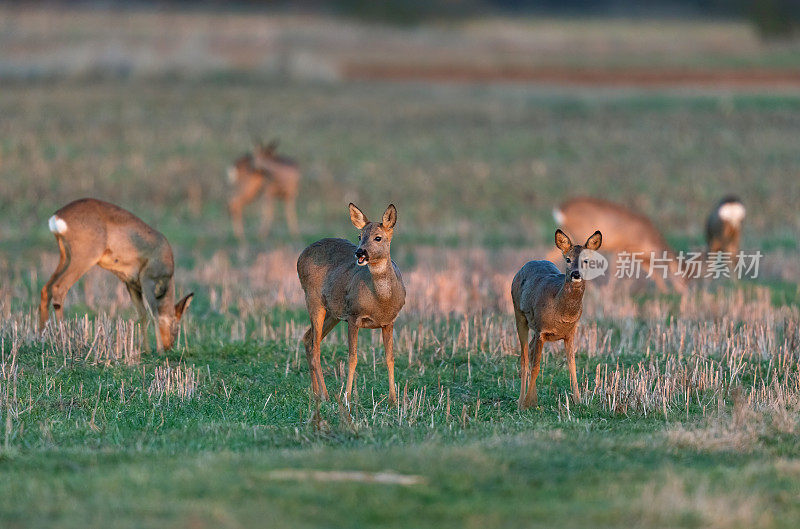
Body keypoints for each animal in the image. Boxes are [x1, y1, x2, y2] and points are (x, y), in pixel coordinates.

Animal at [40, 198, 195, 350]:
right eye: (176, 327)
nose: (170, 346)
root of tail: (57, 216)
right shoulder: (148, 280)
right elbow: (155, 314)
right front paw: (159, 351)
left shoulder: (131, 283)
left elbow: (142, 314)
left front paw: (146, 350)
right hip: (84, 256)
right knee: (58, 288)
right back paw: (62, 340)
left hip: (65, 256)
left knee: (46, 289)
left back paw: (41, 338)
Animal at [296, 204, 406, 402]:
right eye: (359, 236)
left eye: (378, 237)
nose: (359, 252)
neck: (381, 301)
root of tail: (301, 255)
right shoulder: (354, 316)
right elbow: (352, 358)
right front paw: (347, 396)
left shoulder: (389, 321)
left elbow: (390, 358)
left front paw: (394, 400)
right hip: (313, 299)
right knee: (316, 348)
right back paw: (325, 395)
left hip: (333, 312)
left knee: (308, 339)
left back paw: (315, 393)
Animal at [512, 228, 600, 408]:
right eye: (568, 259)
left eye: (586, 260)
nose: (575, 274)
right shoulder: (541, 331)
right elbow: (536, 367)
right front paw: (528, 403)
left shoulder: (570, 333)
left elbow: (572, 366)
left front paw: (578, 401)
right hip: (519, 314)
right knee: (524, 358)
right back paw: (521, 401)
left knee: (529, 350)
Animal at [552, 196, 688, 292]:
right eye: (681, 275)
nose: (684, 292)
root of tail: (562, 210)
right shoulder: (621, 247)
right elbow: (614, 271)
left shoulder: (638, 254)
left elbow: (653, 272)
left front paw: (664, 292)